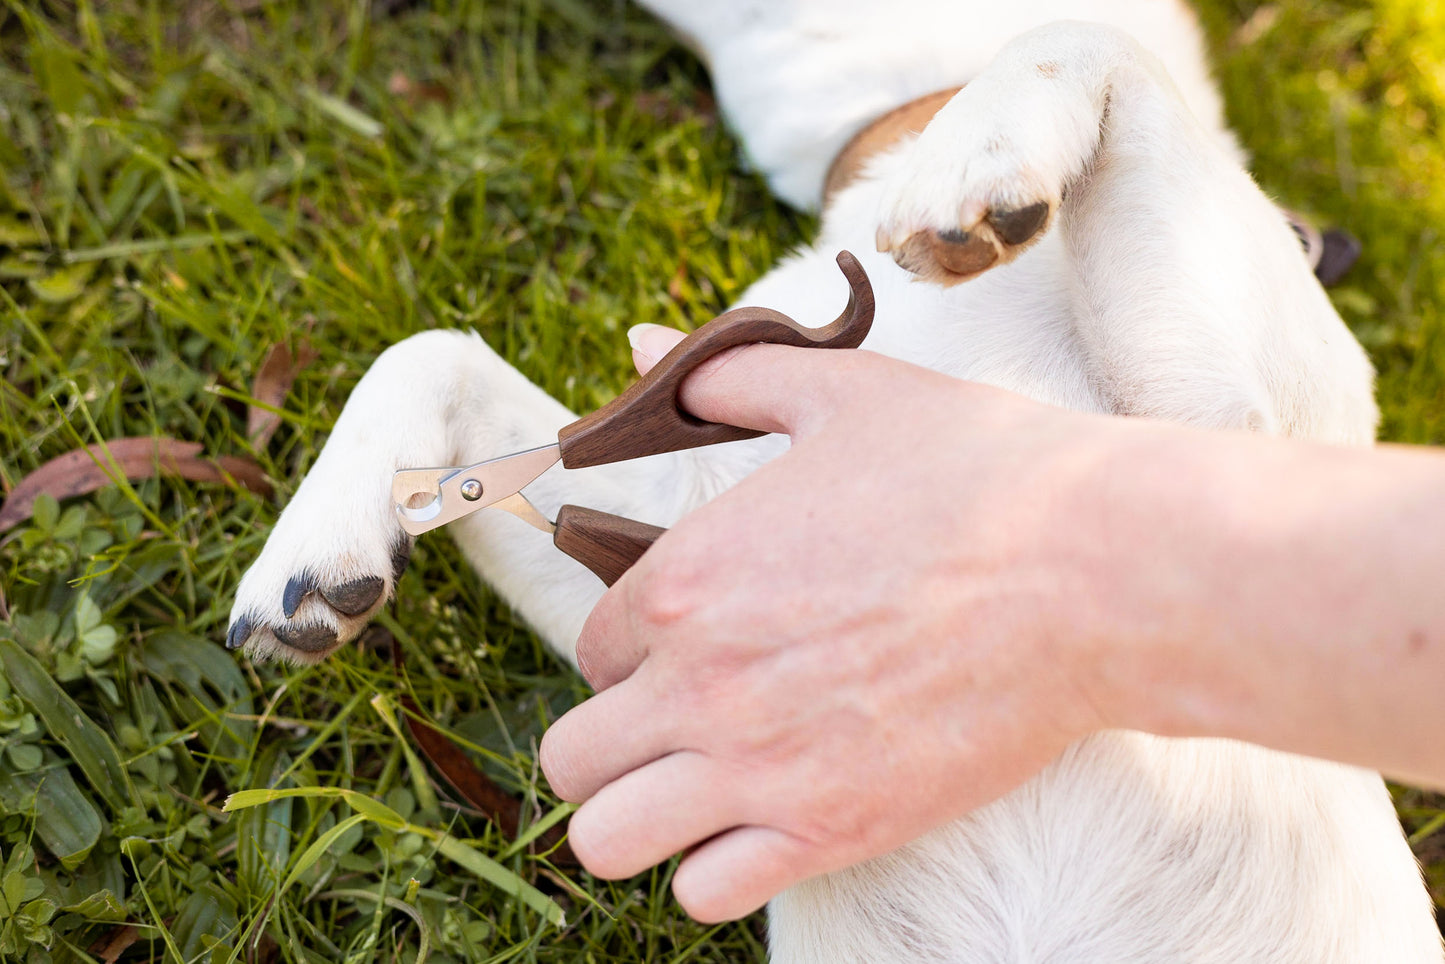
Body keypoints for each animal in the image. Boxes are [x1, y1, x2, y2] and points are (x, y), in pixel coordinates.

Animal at [228, 3, 1445, 959]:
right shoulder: (674, 542)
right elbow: (427, 349)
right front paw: (318, 547)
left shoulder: (1226, 431)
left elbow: (1079, 34)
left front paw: (972, 172)